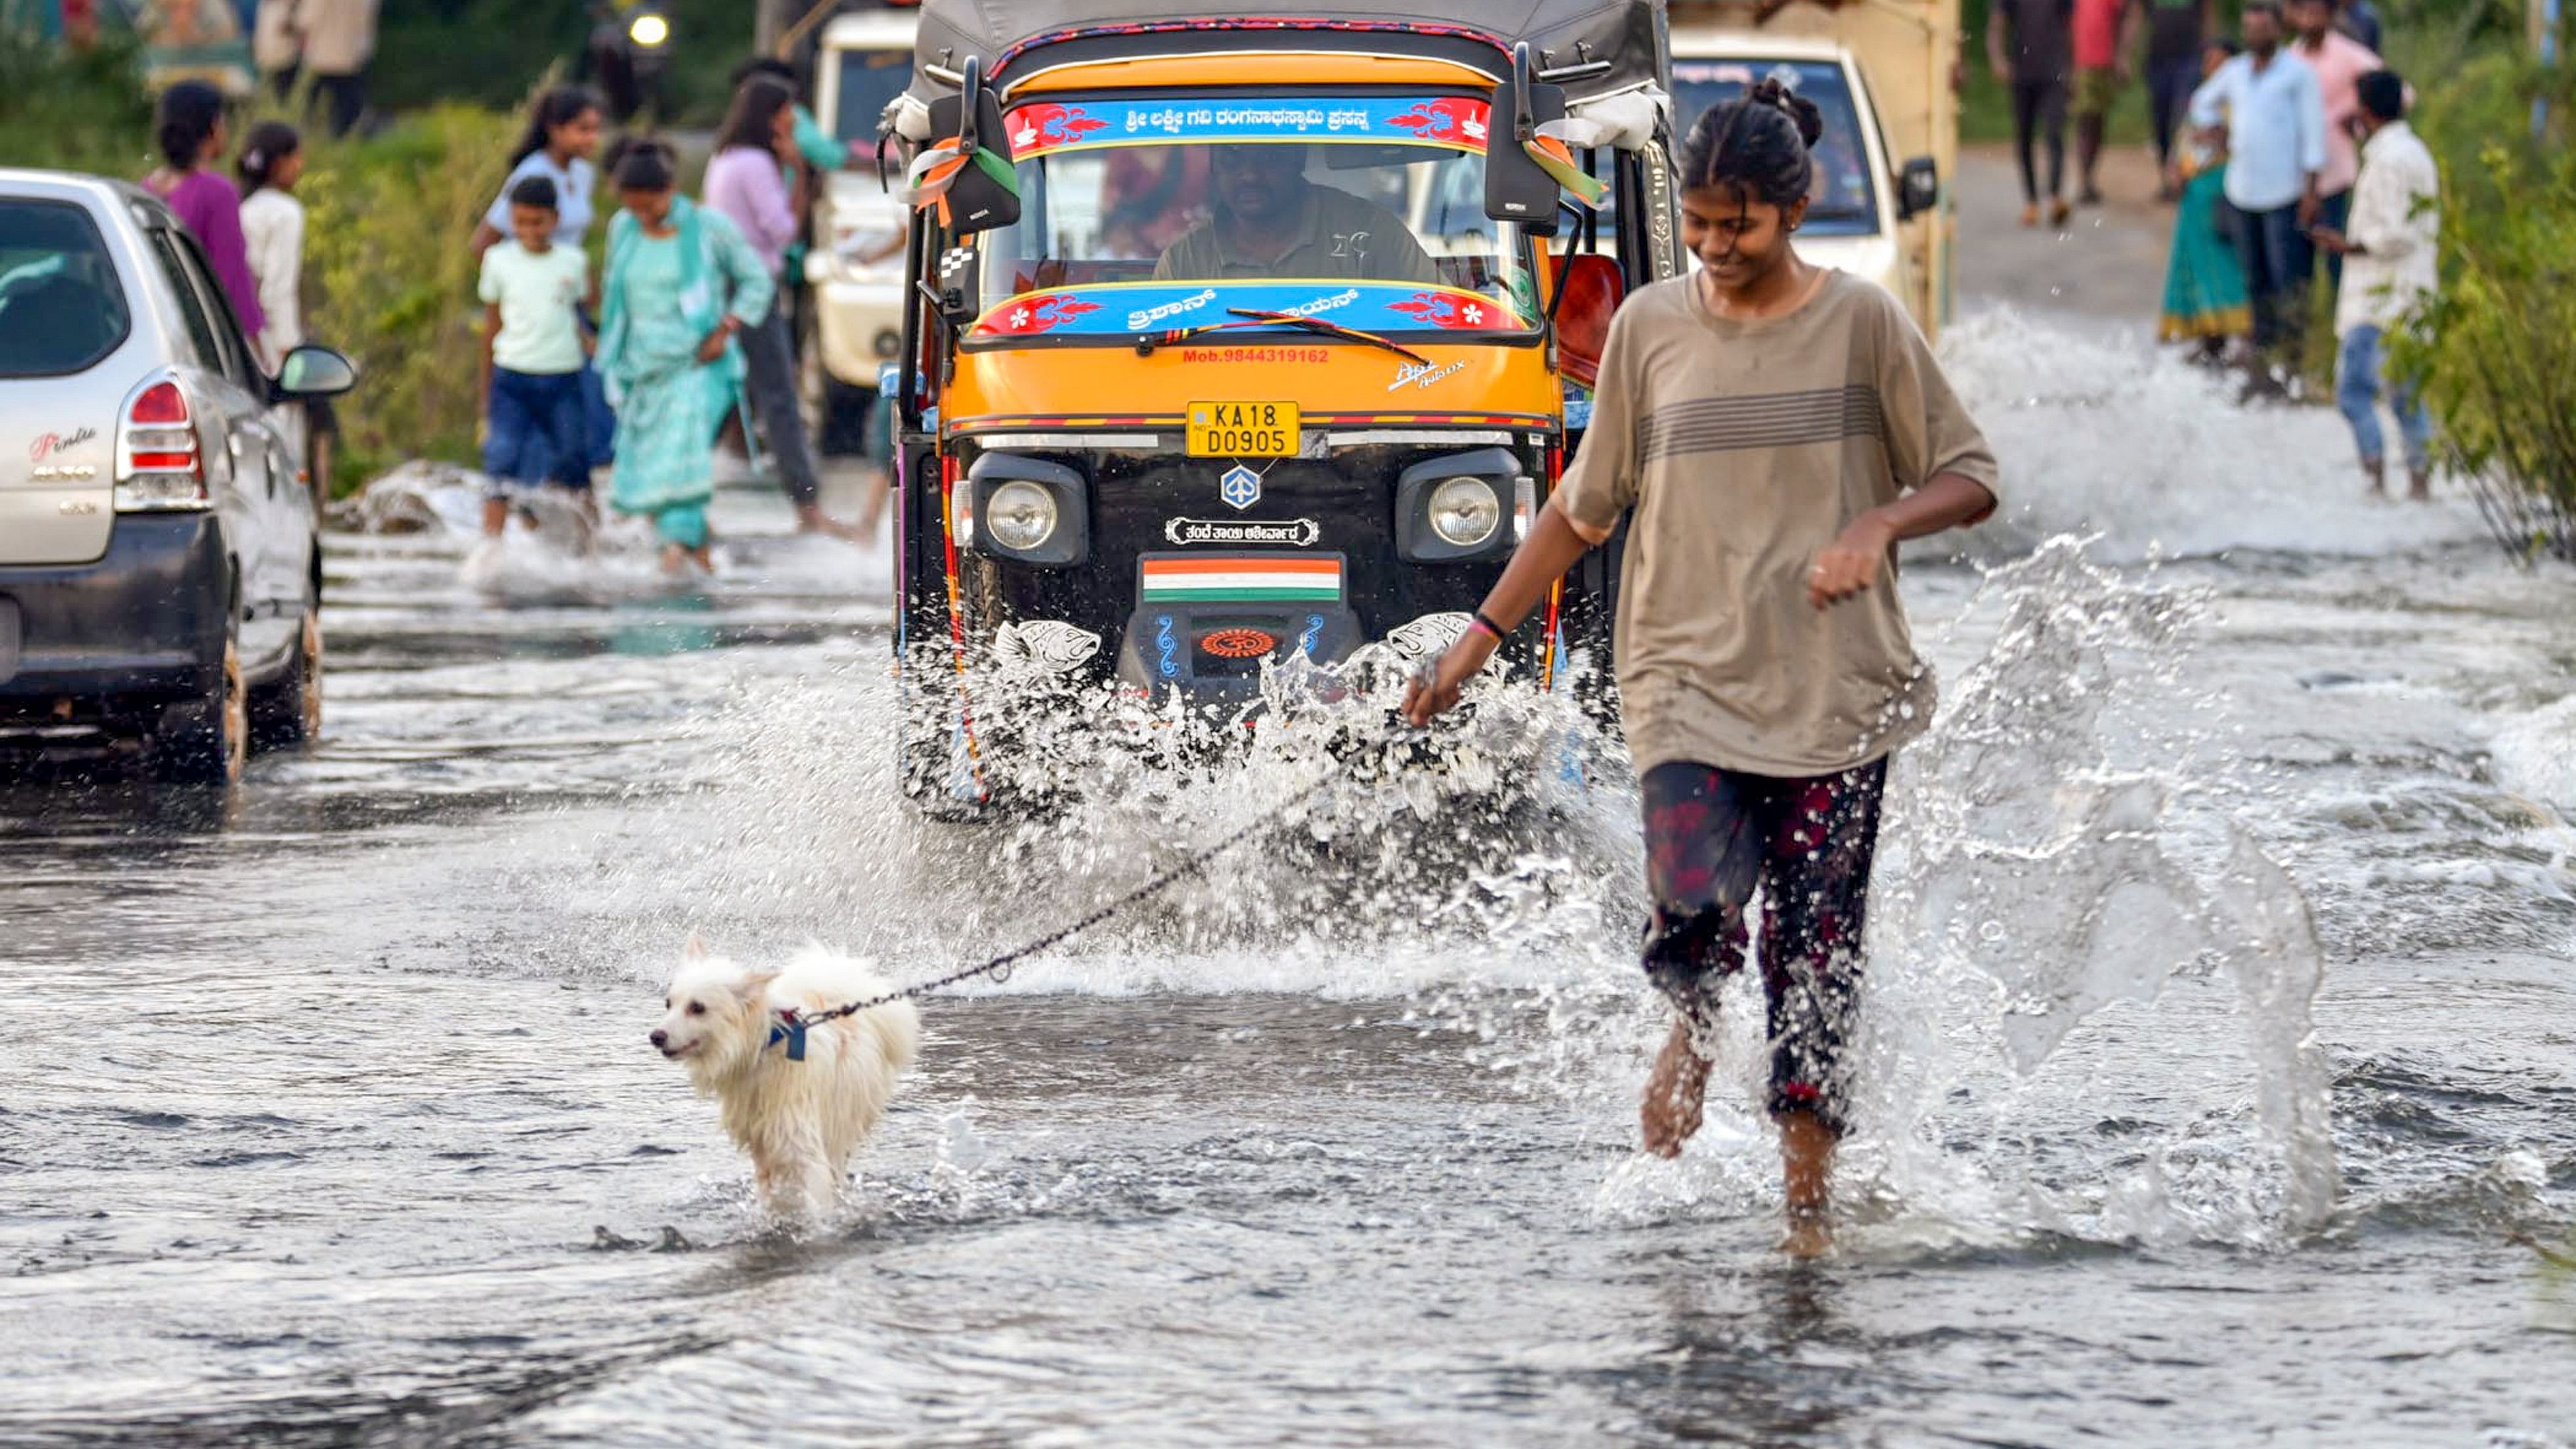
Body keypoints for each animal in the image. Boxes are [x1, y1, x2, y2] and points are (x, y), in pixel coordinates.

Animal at [654, 938, 927, 1217]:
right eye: (669, 1004)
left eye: (697, 1008)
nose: (656, 1036)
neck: (764, 1046)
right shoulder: (762, 1146)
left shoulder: (801, 1145)